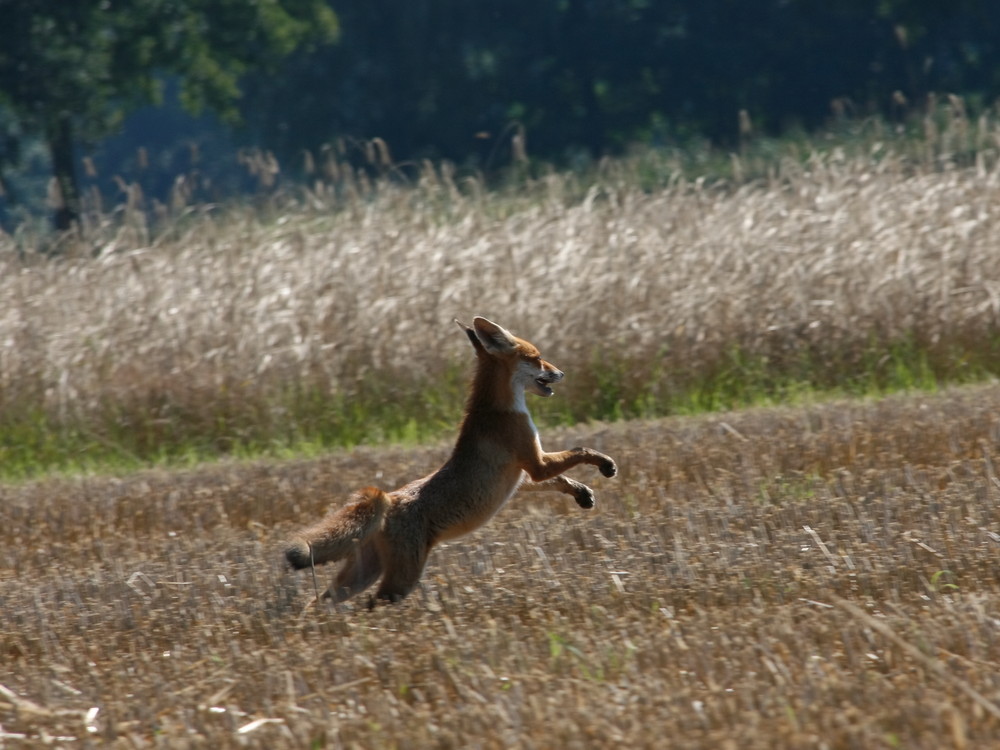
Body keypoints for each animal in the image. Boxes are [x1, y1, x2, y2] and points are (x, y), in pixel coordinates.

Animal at [282, 316, 620, 604]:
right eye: (537, 357)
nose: (562, 372)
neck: (499, 409)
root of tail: (388, 498)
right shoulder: (536, 465)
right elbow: (580, 450)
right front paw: (605, 464)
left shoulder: (522, 477)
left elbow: (561, 478)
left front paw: (581, 493)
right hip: (402, 578)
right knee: (374, 603)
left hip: (362, 575)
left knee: (319, 603)